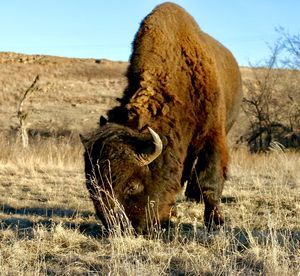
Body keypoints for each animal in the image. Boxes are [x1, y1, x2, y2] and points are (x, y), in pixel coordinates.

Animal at [81, 2, 243, 233]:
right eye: (91, 186)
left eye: (132, 186)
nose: (121, 229)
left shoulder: (212, 137)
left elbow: (210, 182)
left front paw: (215, 221)